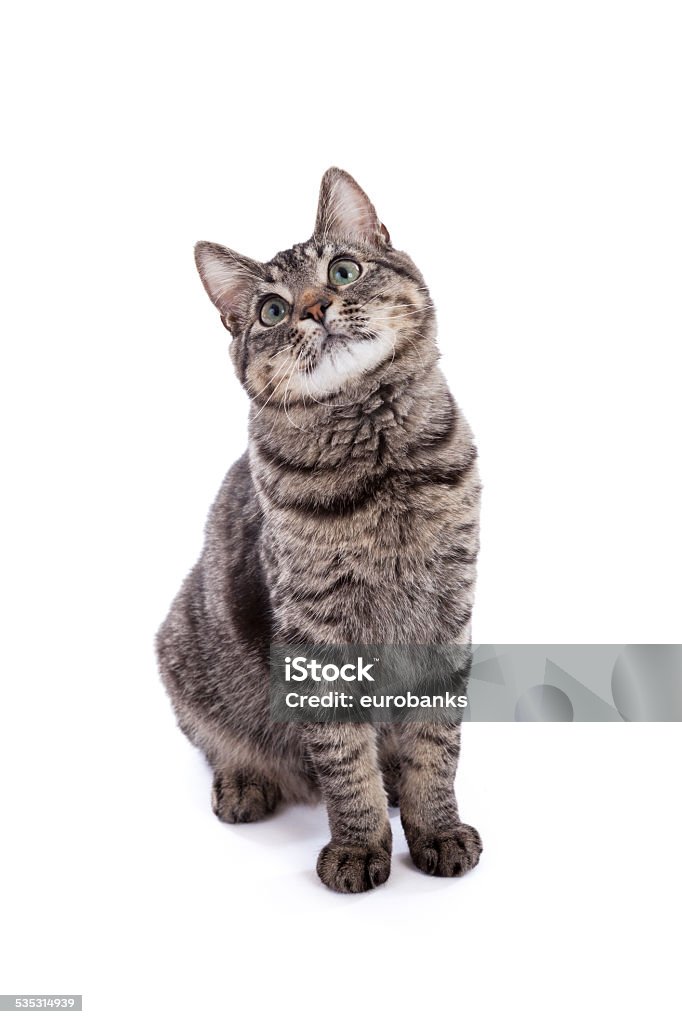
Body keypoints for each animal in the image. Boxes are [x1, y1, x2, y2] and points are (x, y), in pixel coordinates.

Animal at [155, 167, 481, 888]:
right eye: (272, 311)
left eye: (343, 271)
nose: (313, 309)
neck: (381, 469)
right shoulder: (317, 633)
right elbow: (344, 758)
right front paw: (359, 847)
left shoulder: (449, 611)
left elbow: (435, 746)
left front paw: (435, 829)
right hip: (183, 651)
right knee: (218, 742)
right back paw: (245, 781)